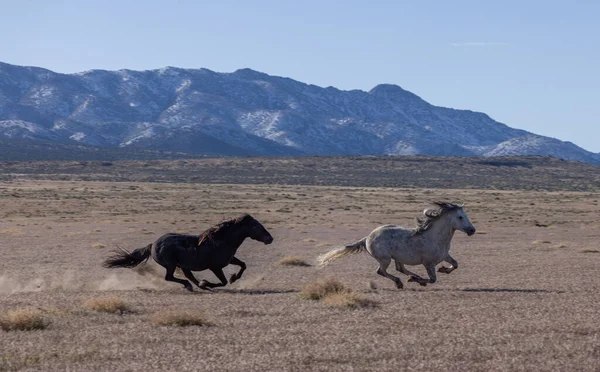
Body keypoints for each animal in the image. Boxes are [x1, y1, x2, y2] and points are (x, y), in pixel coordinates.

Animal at [102, 215, 272, 290]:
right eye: (256, 226)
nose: (270, 239)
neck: (222, 239)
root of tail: (152, 245)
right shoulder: (215, 267)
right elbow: (222, 282)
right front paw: (208, 282)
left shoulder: (229, 260)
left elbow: (243, 265)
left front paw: (234, 278)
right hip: (171, 265)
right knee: (170, 277)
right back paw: (192, 286)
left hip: (182, 265)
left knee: (187, 275)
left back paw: (198, 286)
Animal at [316, 202, 476, 290]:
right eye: (460, 217)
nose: (472, 230)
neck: (434, 237)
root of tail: (367, 237)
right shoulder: (428, 263)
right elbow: (432, 279)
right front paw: (416, 281)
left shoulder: (445, 256)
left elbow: (455, 264)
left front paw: (443, 269)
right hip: (385, 259)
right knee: (381, 271)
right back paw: (401, 282)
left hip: (397, 258)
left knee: (400, 269)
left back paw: (412, 276)